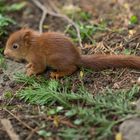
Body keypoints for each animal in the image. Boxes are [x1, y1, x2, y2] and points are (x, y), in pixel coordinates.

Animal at [3, 28, 140, 79]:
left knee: (72, 68)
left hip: (55, 60)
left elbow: (40, 68)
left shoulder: (38, 57)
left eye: (15, 46)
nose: (4, 53)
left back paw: (57, 74)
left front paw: (30, 72)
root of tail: (77, 58)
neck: (32, 46)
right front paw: (28, 65)